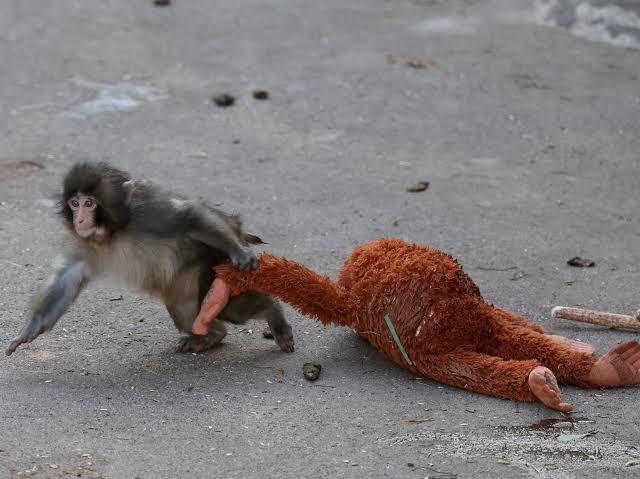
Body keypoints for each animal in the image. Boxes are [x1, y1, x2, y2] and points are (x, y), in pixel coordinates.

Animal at [5, 162, 294, 356]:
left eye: (89, 203)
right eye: (74, 205)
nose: (80, 220)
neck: (114, 232)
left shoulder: (149, 213)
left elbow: (189, 217)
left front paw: (240, 251)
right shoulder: (83, 242)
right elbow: (68, 276)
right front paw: (28, 331)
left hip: (215, 260)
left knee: (234, 307)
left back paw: (274, 313)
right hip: (184, 284)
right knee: (187, 311)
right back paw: (211, 335)